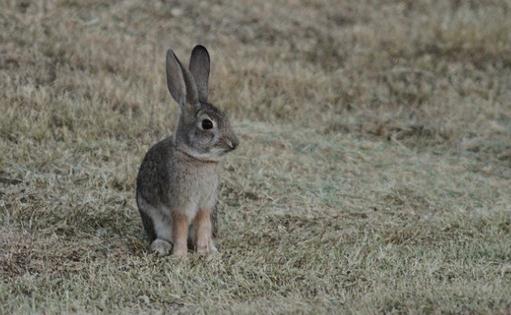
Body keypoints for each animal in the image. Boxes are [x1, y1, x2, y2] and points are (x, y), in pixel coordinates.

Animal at [136, 45, 240, 256]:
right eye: (207, 124)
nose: (234, 143)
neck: (196, 158)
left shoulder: (206, 206)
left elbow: (202, 225)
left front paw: (205, 253)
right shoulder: (181, 206)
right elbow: (181, 227)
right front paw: (180, 256)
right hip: (154, 219)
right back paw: (161, 247)